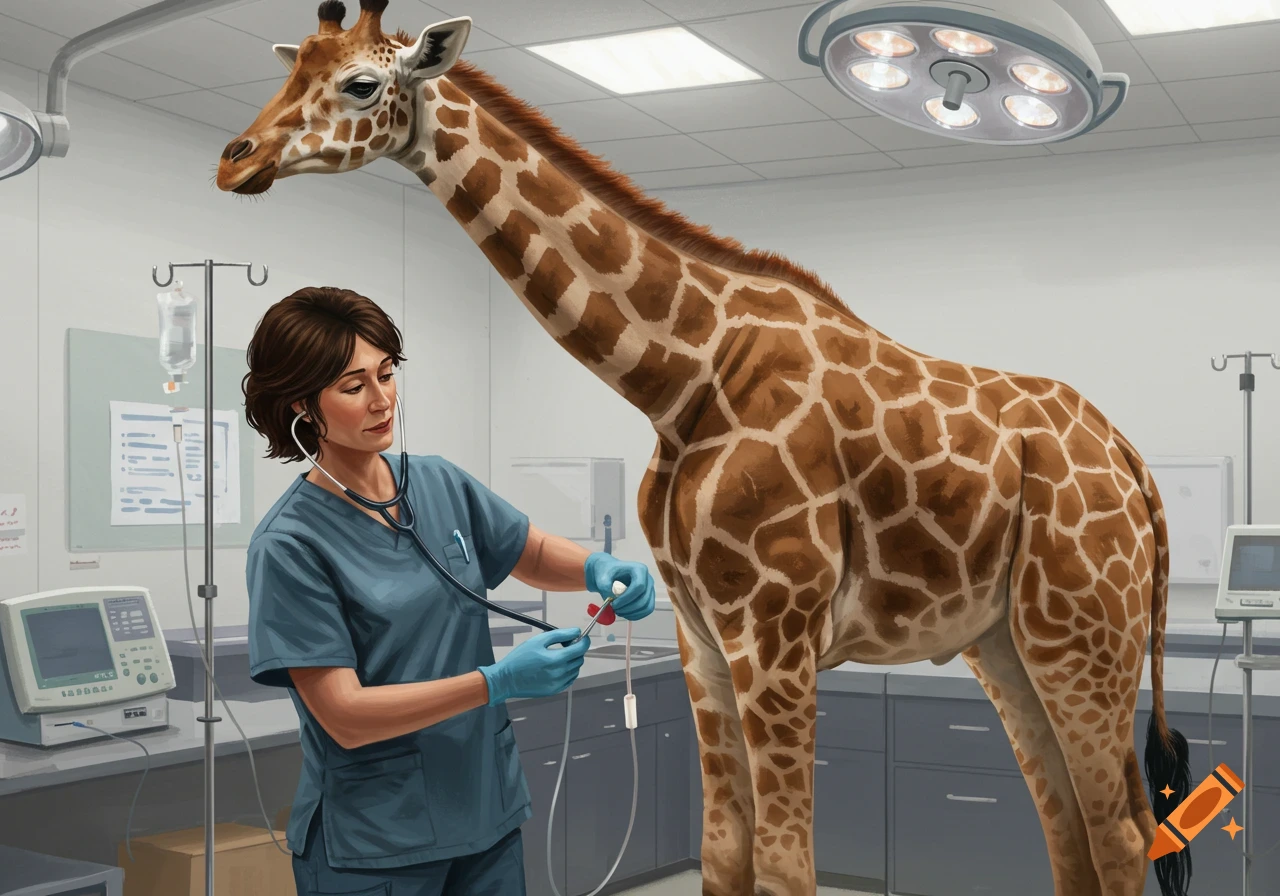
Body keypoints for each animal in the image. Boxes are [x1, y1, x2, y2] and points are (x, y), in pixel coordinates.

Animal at [214, 3, 1194, 895]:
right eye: (291, 69)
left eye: (360, 83)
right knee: (1071, 827)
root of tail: (1133, 465)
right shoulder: (703, 639)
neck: (682, 378)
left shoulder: (776, 635)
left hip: (1082, 634)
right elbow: (725, 853)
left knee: (1120, 833)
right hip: (1007, 644)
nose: (236, 159)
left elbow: (787, 865)